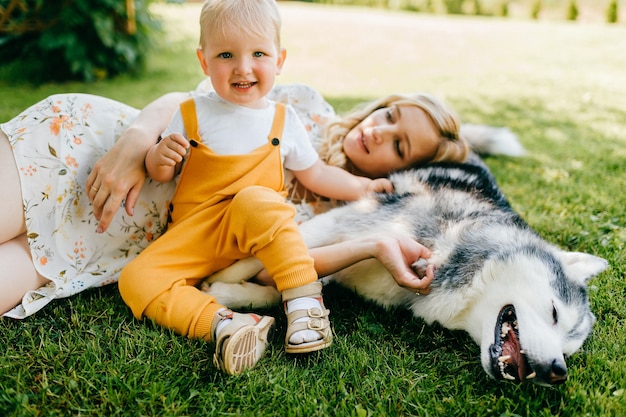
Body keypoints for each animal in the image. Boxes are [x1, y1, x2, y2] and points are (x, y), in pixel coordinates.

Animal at [202, 158, 608, 384]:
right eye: (553, 312)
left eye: (569, 350)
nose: (557, 372)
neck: (447, 247)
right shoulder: (348, 219)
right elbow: (285, 251)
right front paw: (222, 273)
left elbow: (296, 279)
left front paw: (230, 290)